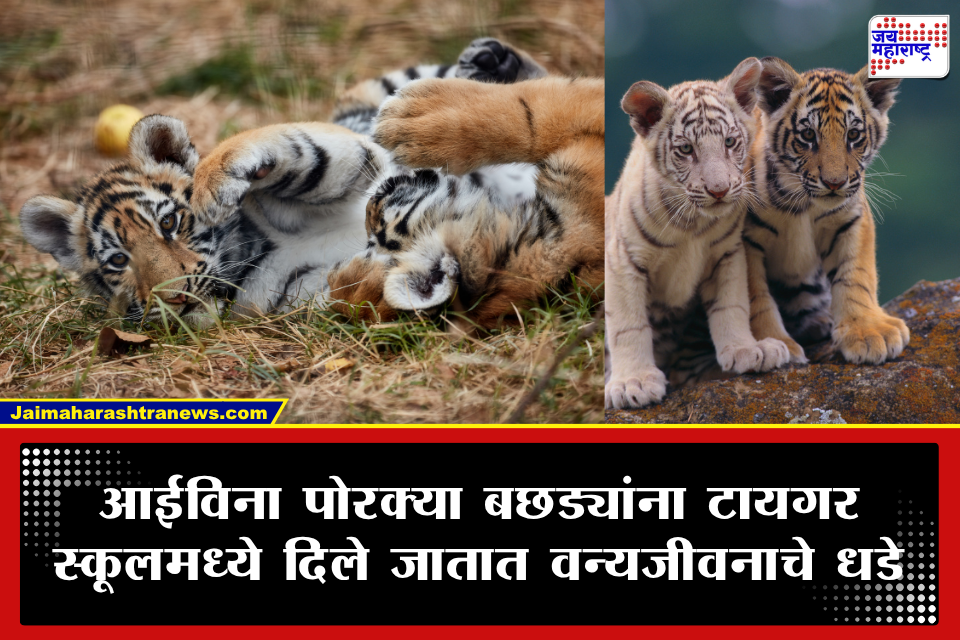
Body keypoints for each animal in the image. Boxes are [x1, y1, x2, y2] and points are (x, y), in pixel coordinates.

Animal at [18, 38, 581, 329]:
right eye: (118, 261)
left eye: (172, 223)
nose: (173, 299)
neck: (248, 252)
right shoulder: (290, 295)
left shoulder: (353, 159)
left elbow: (296, 150)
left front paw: (218, 181)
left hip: (395, 90)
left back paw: (490, 59)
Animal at [605, 58, 791, 410]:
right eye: (686, 149)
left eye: (729, 142)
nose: (718, 190)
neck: (692, 224)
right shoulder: (624, 260)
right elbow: (628, 323)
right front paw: (634, 382)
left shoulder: (727, 253)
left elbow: (731, 304)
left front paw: (747, 349)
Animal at [743, 58, 909, 364]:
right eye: (808, 135)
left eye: (853, 135)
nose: (834, 183)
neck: (803, 205)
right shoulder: (744, 238)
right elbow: (753, 294)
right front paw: (769, 343)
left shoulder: (851, 220)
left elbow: (855, 274)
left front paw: (869, 332)